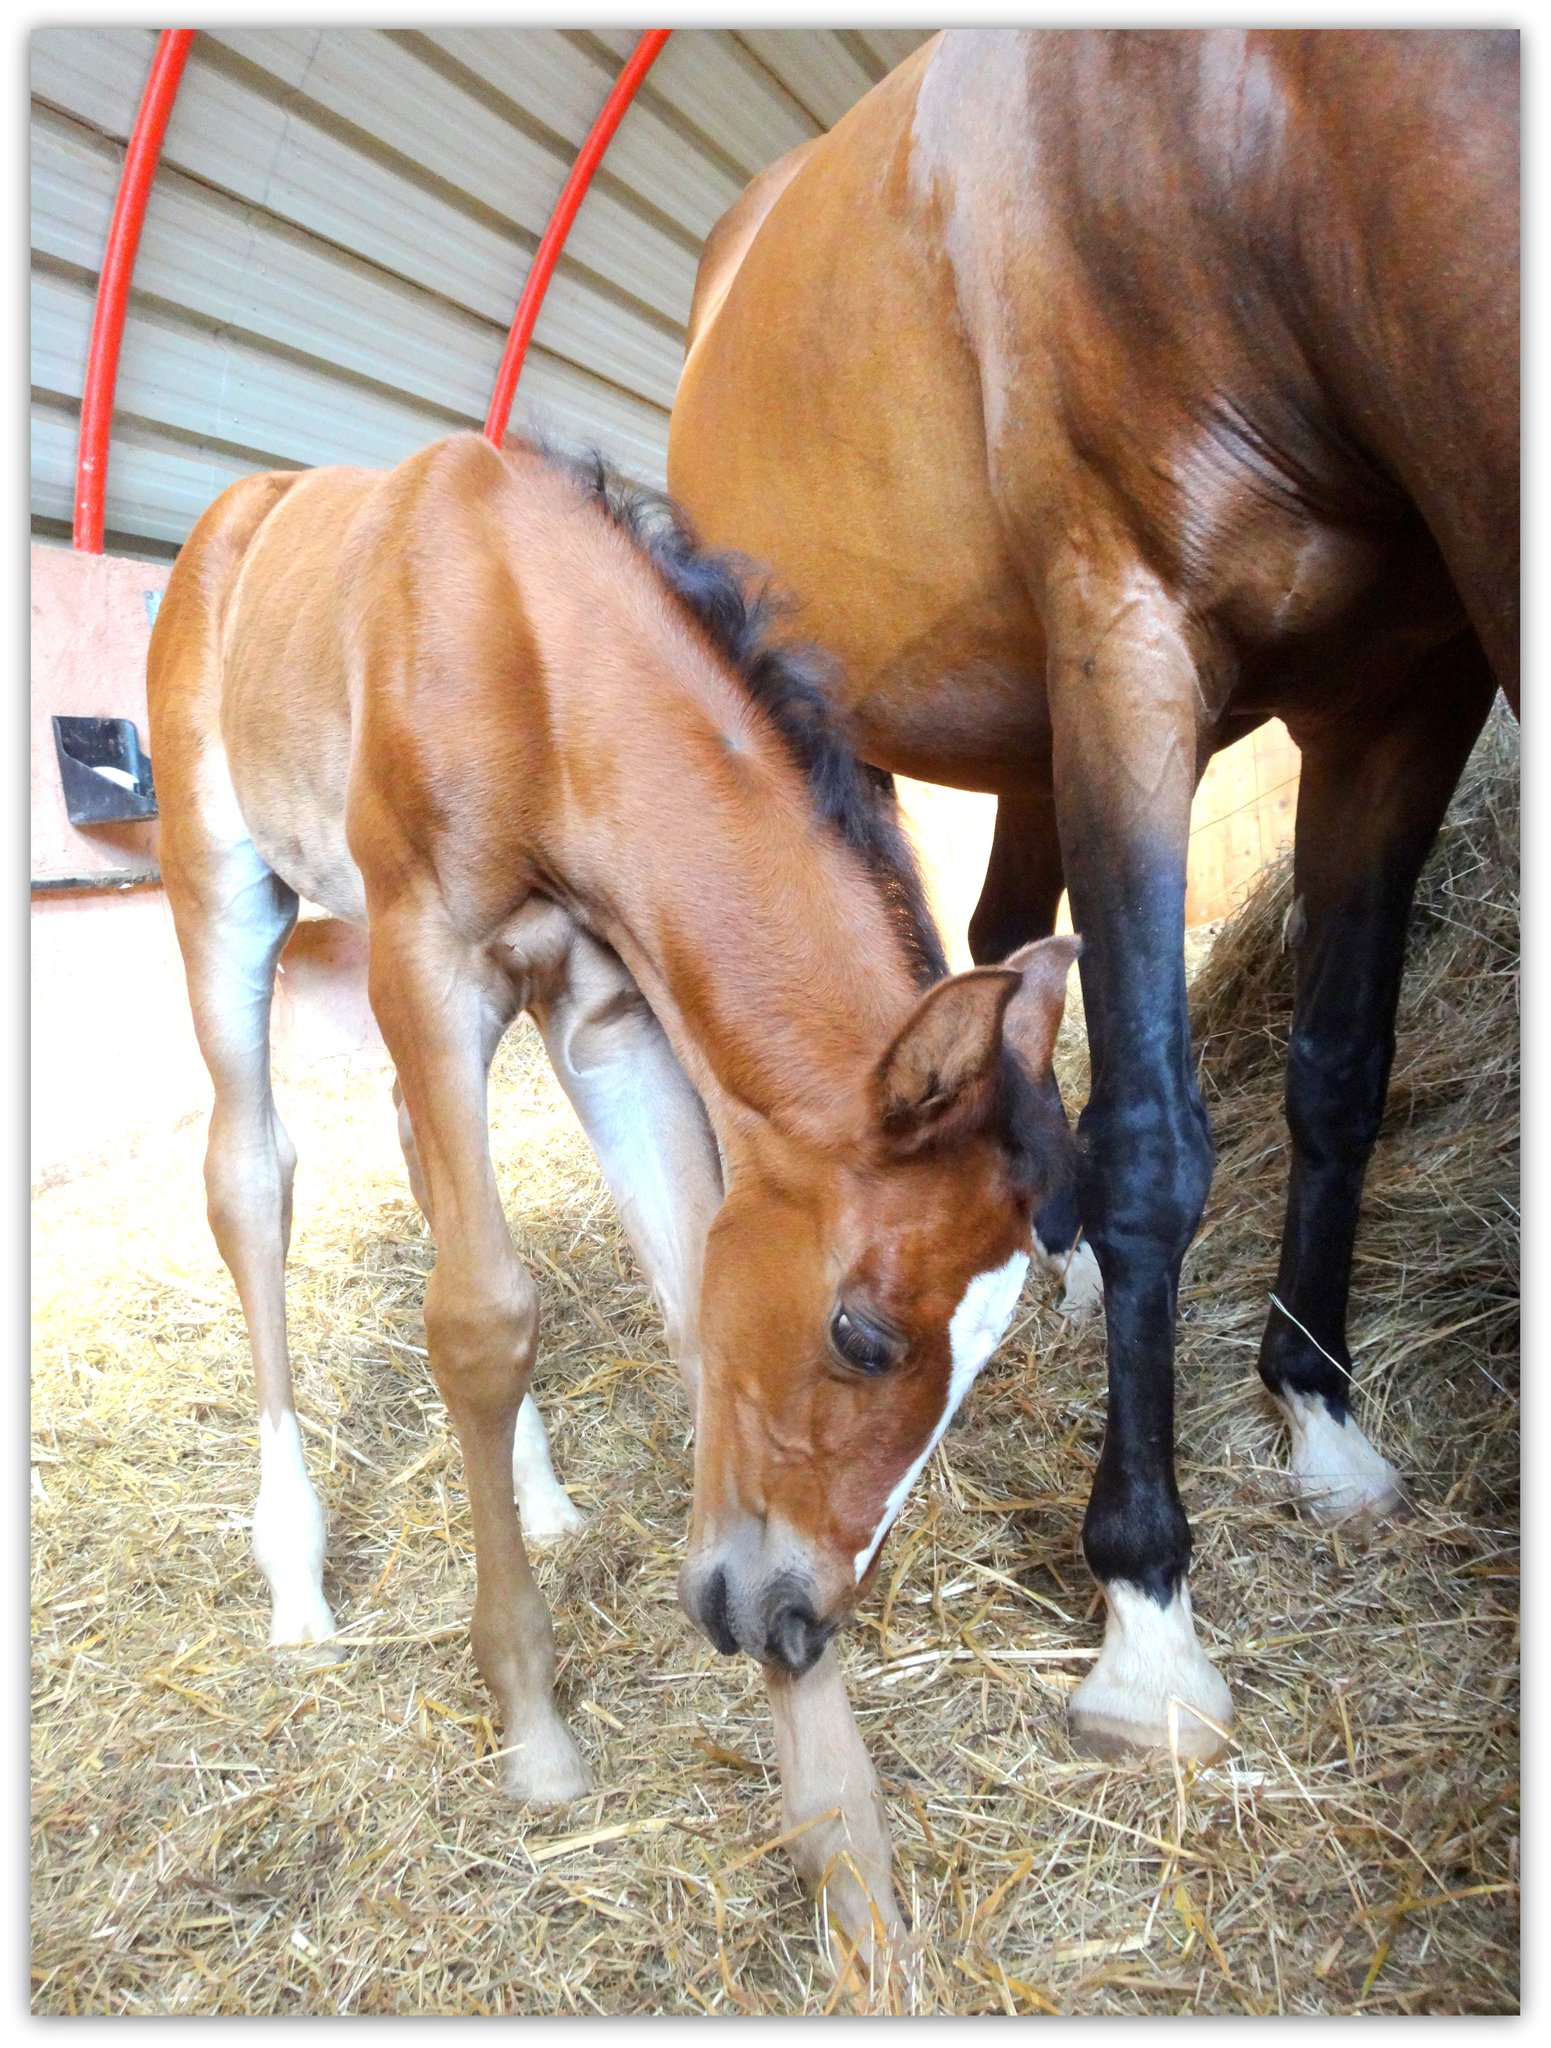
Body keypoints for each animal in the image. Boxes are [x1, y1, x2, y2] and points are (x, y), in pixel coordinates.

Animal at [146, 430, 1082, 1968]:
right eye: (865, 1333)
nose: (794, 1621)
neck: (531, 651)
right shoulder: (425, 948)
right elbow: (478, 1317)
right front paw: (532, 1723)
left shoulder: (604, 1007)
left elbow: (696, 1315)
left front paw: (845, 1848)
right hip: (221, 879)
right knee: (249, 1173)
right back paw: (295, 1573)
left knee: (408, 1142)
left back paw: (538, 1492)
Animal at [668, 28, 1518, 1767]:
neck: (1254, 136)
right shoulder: (1128, 647)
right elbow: (1148, 1144)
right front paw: (1144, 1612)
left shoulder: (1403, 697)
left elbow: (1340, 1073)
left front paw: (1317, 1416)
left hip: (1025, 733)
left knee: (1001, 955)